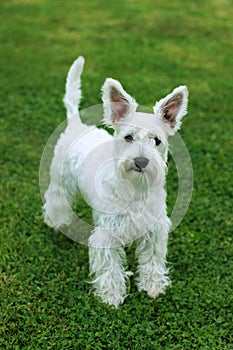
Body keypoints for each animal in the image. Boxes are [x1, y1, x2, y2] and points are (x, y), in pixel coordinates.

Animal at [42, 56, 188, 306]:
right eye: (128, 137)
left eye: (157, 140)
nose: (141, 161)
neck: (135, 189)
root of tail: (75, 123)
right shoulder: (106, 234)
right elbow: (110, 266)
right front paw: (111, 296)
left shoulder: (154, 229)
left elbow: (152, 259)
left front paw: (153, 286)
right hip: (60, 181)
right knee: (55, 199)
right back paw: (56, 221)